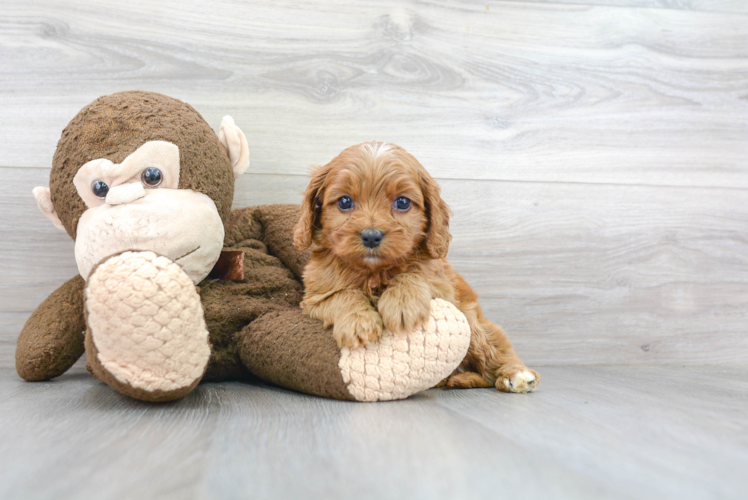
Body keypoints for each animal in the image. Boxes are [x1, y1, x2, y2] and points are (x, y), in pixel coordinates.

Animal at [292, 143, 536, 392]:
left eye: (402, 202)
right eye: (344, 202)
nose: (371, 236)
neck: (374, 272)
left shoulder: (443, 287)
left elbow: (413, 274)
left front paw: (402, 304)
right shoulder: (315, 297)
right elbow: (342, 295)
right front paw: (358, 323)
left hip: (472, 321)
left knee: (492, 354)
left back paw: (517, 375)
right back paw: (455, 380)